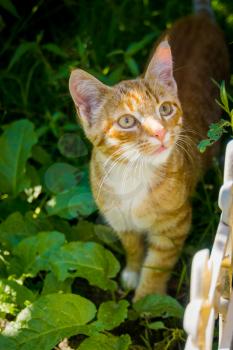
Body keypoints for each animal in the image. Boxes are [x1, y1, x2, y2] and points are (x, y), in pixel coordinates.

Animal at [68, 0, 228, 300]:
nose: (160, 132)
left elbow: (157, 266)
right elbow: (132, 247)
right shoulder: (120, 220)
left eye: (165, 109)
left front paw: (145, 298)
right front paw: (132, 271)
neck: (133, 173)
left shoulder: (174, 226)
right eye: (126, 121)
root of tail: (200, 17)